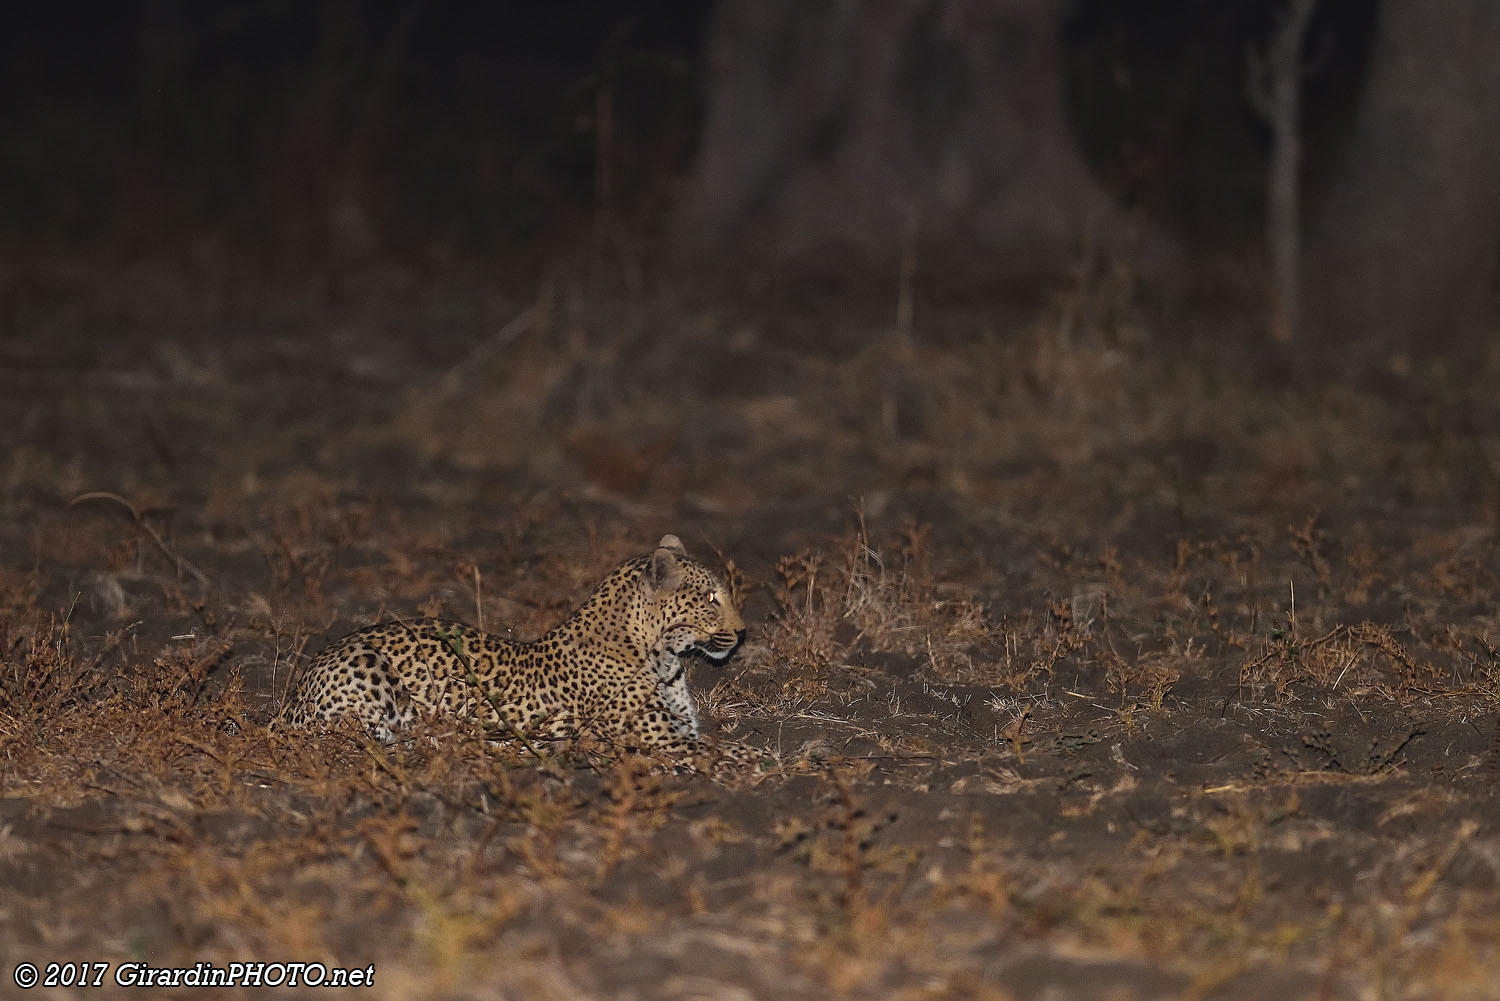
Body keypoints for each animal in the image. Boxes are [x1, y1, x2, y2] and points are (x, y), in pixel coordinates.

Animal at [282, 537, 750, 762]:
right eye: (711, 598)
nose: (743, 632)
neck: (663, 658)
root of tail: (291, 699)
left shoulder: (681, 730)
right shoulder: (663, 740)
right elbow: (730, 752)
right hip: (370, 668)